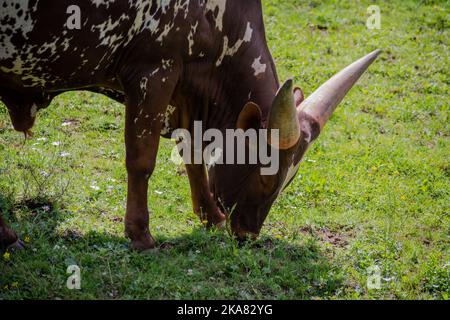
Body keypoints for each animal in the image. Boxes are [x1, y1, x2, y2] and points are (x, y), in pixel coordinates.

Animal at [0, 0, 380, 252]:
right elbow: (141, 161)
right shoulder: (154, 72)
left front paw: (211, 215)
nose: (248, 234)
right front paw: (140, 234)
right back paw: (8, 236)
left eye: (291, 180)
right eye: (267, 174)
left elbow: (193, 154)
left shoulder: (183, 94)